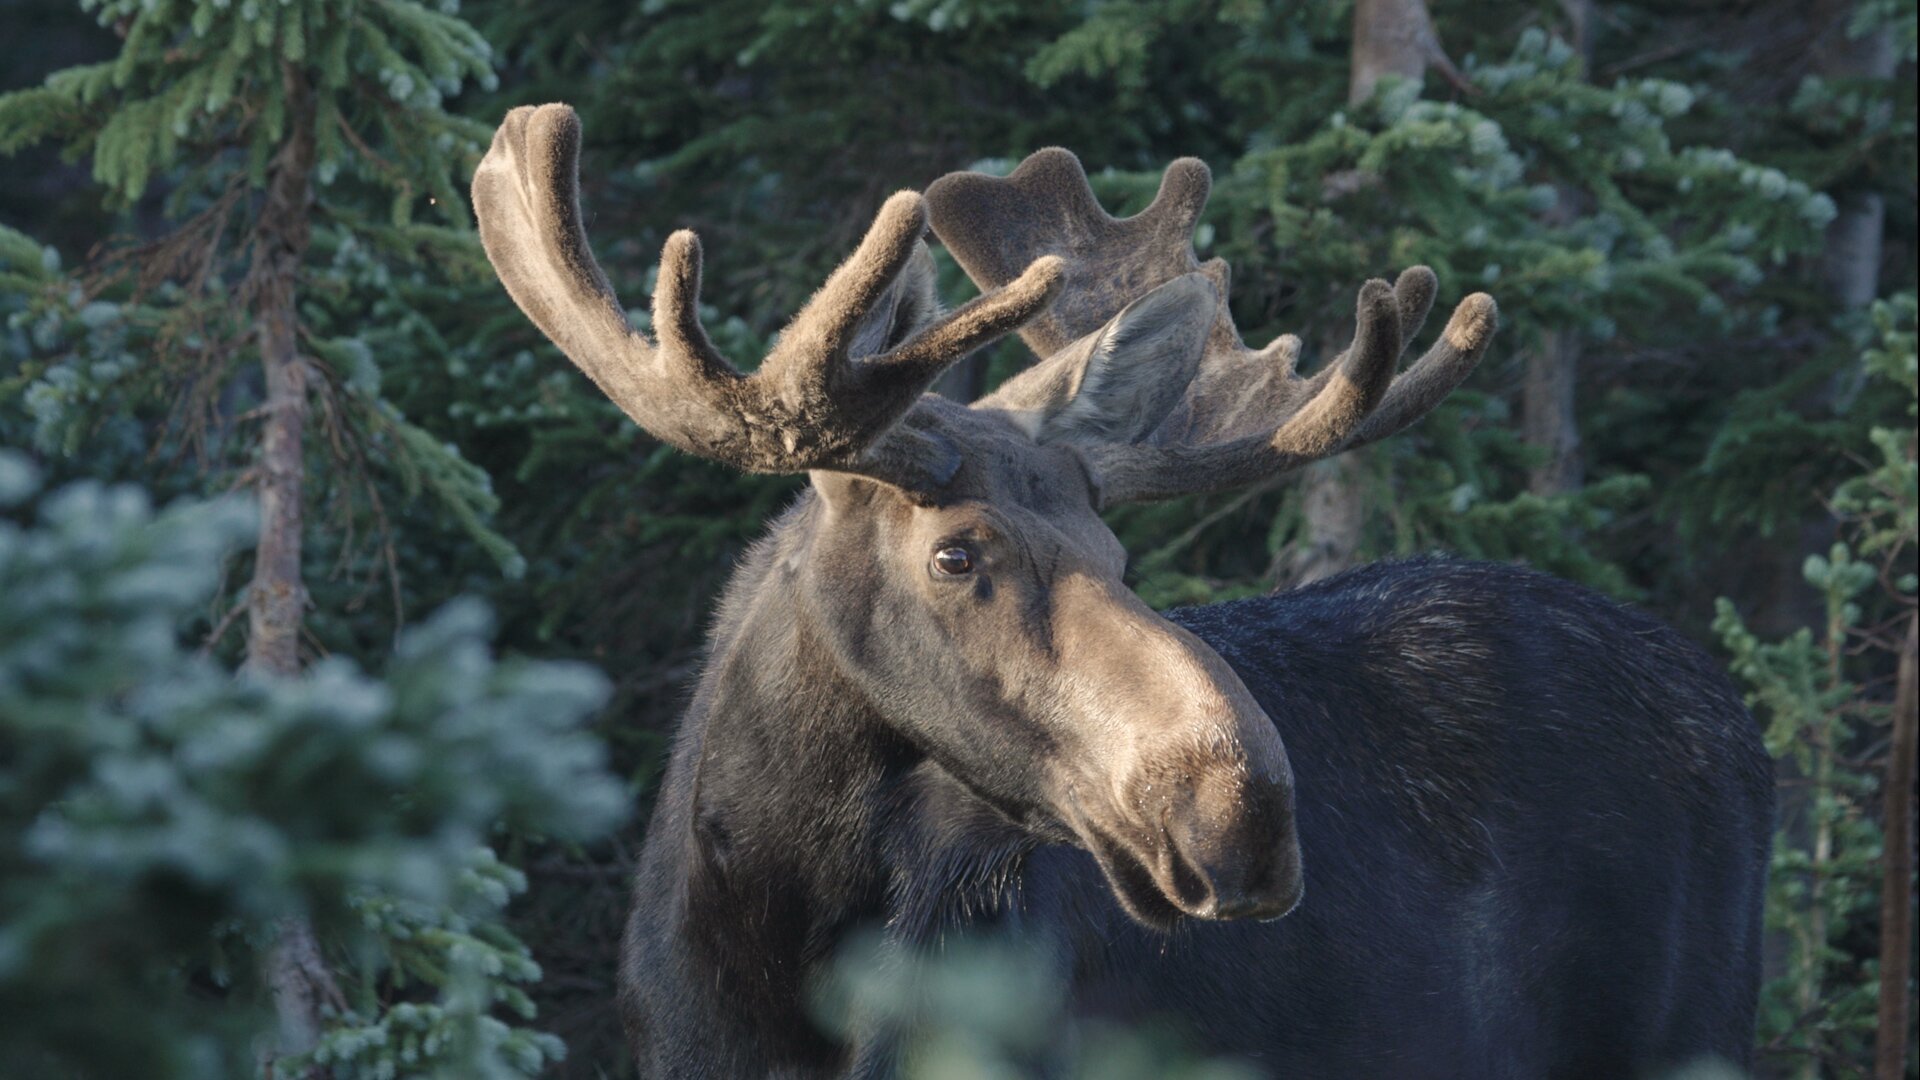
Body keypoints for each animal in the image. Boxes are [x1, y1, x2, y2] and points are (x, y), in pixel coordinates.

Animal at [472, 103, 1774, 1079]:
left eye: (1116, 550)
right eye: (957, 554)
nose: (1246, 815)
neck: (766, 962)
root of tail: (1745, 728)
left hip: (1694, 1031)